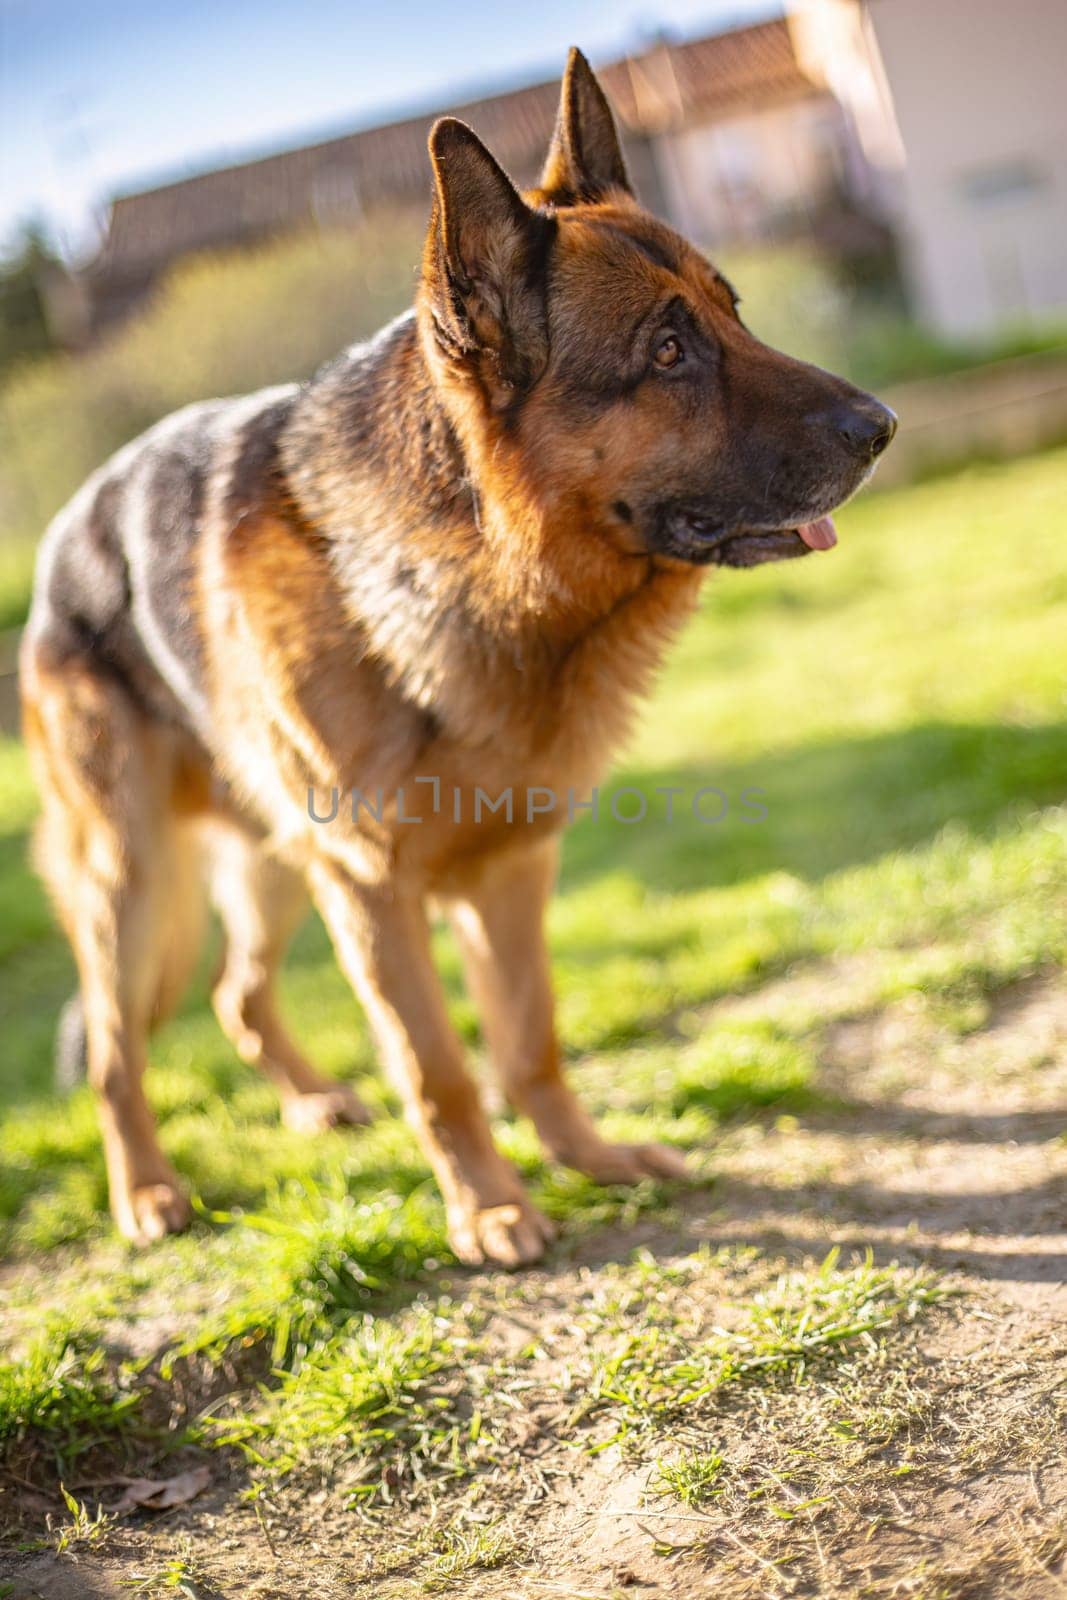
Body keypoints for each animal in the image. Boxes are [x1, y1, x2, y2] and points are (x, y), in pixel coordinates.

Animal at [20, 50, 895, 1260]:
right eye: (668, 352)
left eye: (736, 313)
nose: (882, 427)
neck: (474, 561)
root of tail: (64, 529)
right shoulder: (372, 891)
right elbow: (438, 1070)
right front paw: (488, 1206)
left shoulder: (510, 871)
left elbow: (529, 1041)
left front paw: (585, 1162)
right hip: (135, 875)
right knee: (115, 1050)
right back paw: (143, 1191)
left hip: (268, 863)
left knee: (237, 997)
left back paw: (309, 1102)